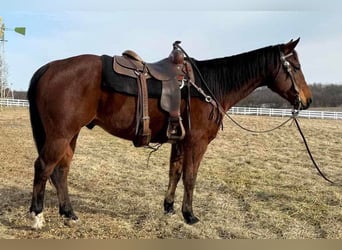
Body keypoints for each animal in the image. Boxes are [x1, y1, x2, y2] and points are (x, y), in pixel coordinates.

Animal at [27, 37, 310, 229]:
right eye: (295, 67)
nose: (307, 101)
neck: (205, 86)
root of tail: (48, 68)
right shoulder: (197, 142)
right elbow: (190, 177)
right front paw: (189, 214)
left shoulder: (180, 140)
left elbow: (174, 173)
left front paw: (169, 207)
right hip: (60, 135)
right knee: (43, 167)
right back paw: (37, 215)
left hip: (70, 135)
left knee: (61, 171)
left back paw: (68, 212)